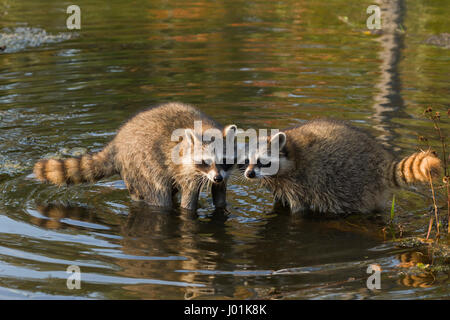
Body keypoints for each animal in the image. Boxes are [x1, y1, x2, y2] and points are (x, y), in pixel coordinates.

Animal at [33, 102, 237, 211]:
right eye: (205, 162)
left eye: (224, 160)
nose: (217, 178)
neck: (205, 127)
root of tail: (117, 142)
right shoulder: (187, 170)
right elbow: (188, 201)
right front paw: (190, 209)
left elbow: (220, 194)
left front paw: (222, 207)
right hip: (143, 164)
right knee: (159, 195)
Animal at [241, 119, 442, 215]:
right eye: (248, 160)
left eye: (263, 162)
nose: (249, 174)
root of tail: (381, 162)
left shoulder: (300, 182)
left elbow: (299, 208)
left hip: (353, 183)